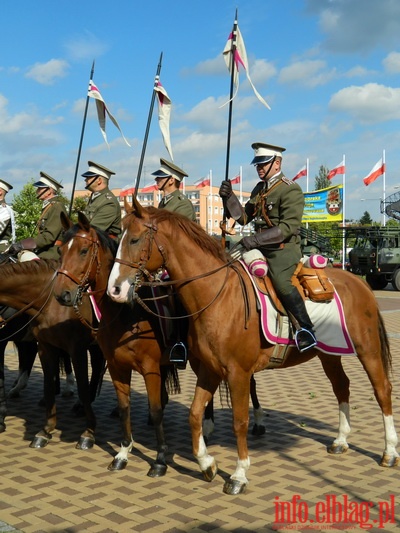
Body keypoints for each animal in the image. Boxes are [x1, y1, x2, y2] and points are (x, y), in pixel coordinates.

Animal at [0, 258, 104, 448]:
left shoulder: (76, 348)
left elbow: (82, 387)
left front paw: (89, 433)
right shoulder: (44, 345)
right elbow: (47, 385)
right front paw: (46, 430)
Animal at [107, 198, 400, 494]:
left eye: (134, 239)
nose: (114, 290)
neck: (218, 295)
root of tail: (359, 282)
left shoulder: (238, 374)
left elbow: (239, 421)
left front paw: (238, 474)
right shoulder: (209, 370)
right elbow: (194, 414)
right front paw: (207, 463)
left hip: (368, 350)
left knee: (382, 390)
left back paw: (389, 452)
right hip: (329, 354)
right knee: (342, 386)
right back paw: (341, 440)